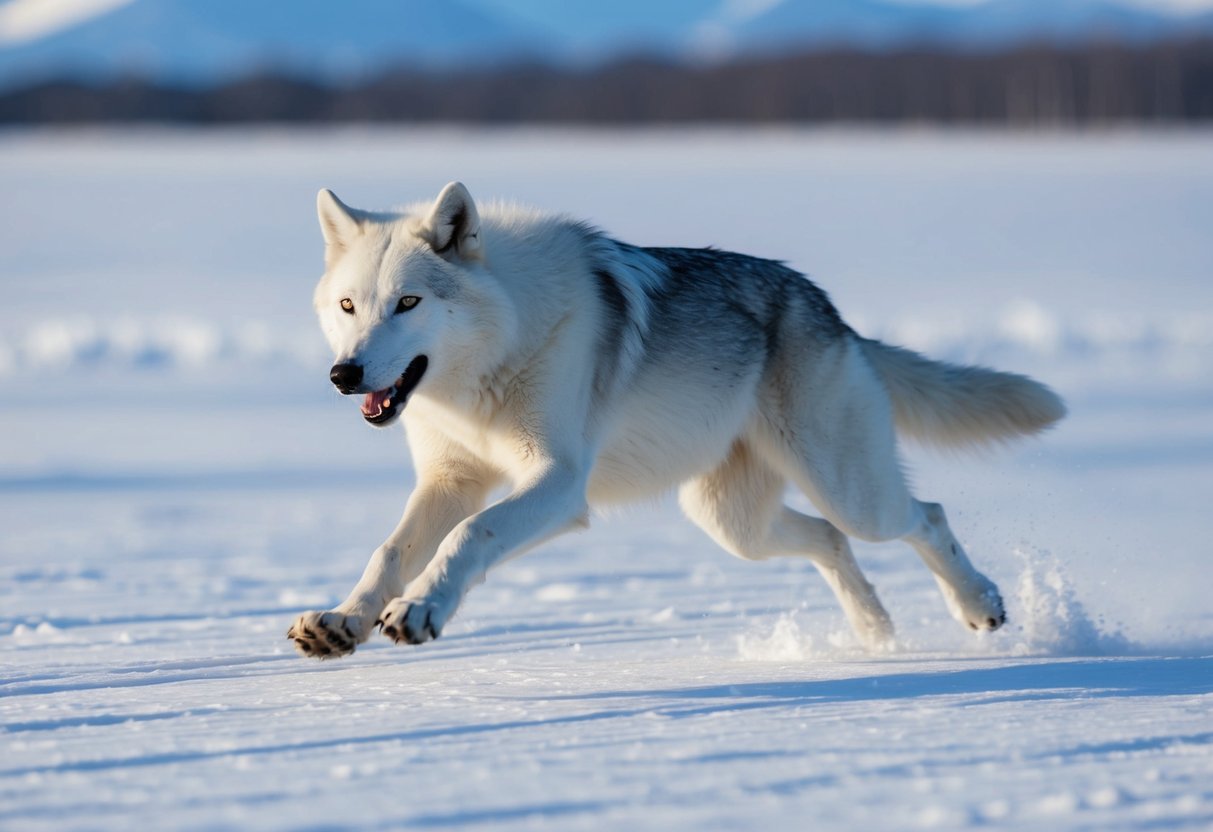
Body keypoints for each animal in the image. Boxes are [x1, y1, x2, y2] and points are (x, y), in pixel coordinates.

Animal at [288, 181, 1065, 659]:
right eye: (349, 306)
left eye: (408, 303)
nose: (344, 375)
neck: (493, 355)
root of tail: (830, 310)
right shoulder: (449, 481)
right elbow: (390, 552)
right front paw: (344, 620)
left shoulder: (556, 483)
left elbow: (467, 535)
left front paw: (420, 611)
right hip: (732, 524)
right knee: (829, 542)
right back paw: (875, 633)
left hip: (848, 491)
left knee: (923, 516)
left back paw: (979, 604)